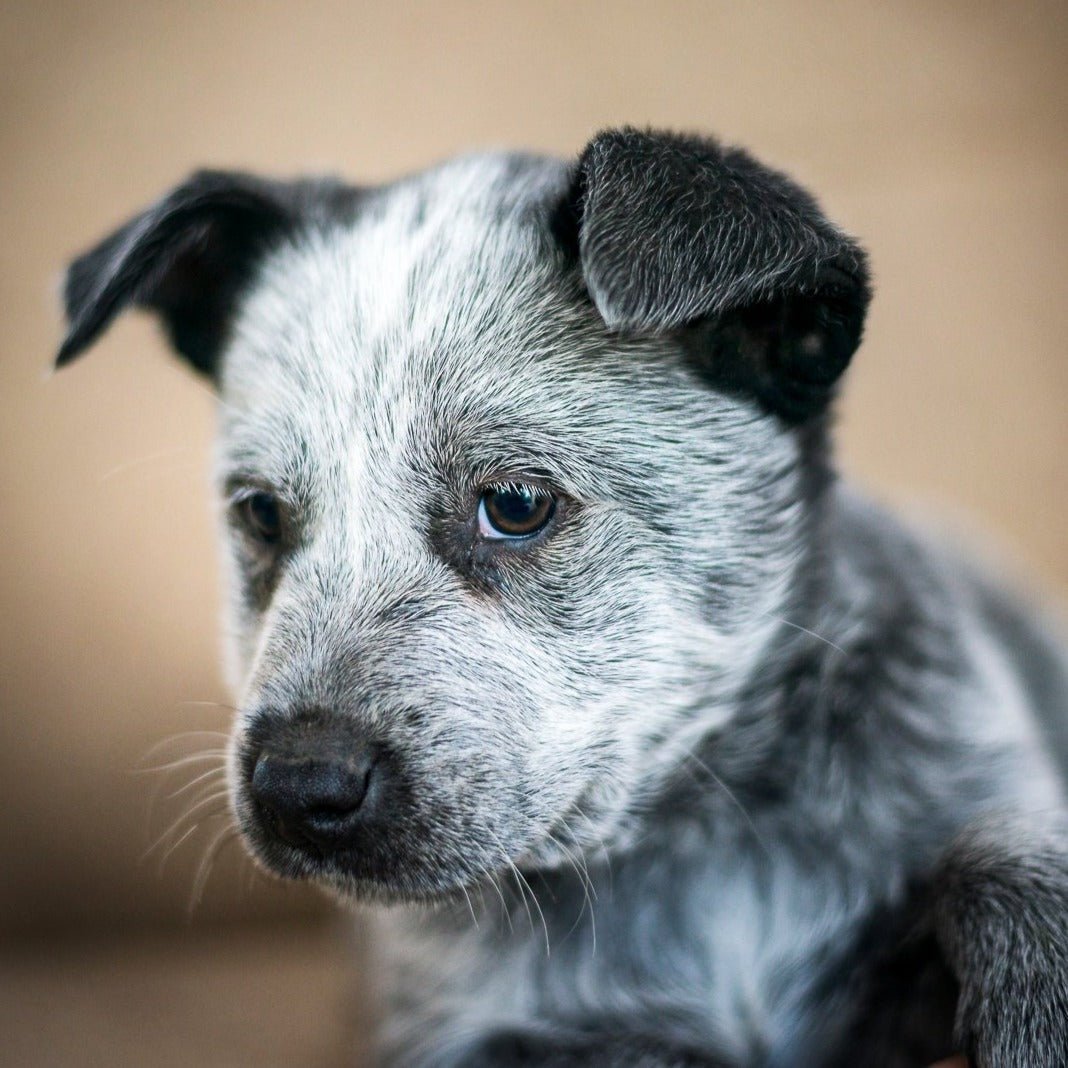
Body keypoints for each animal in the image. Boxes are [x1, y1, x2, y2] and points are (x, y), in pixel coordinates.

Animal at [58, 129, 1068, 1063]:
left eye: (515, 503)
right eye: (262, 514)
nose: (298, 786)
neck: (696, 857)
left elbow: (1003, 855)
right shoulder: (459, 1032)